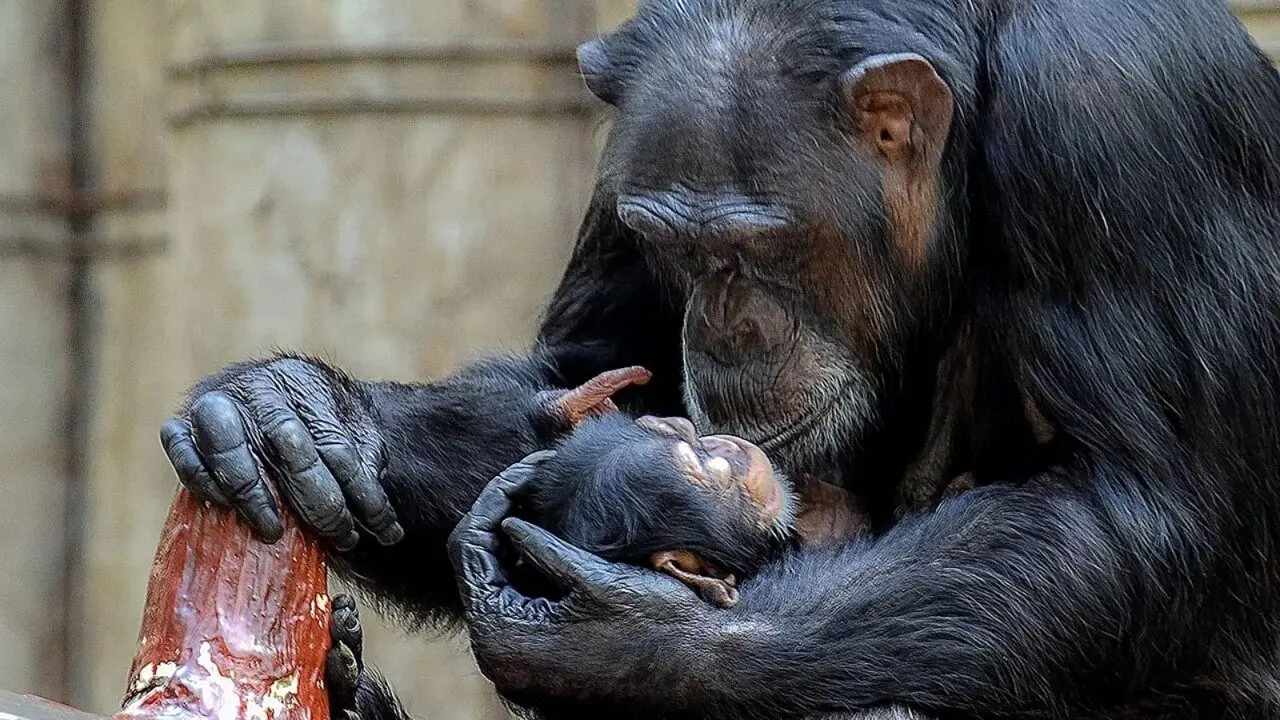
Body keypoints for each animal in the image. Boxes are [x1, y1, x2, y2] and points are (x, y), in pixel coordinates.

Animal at [157, 0, 1280, 712]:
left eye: (758, 248)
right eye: (674, 247)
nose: (724, 328)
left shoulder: (1111, 113)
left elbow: (1130, 502)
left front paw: (628, 642)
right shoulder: (629, 159)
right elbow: (577, 382)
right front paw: (300, 410)